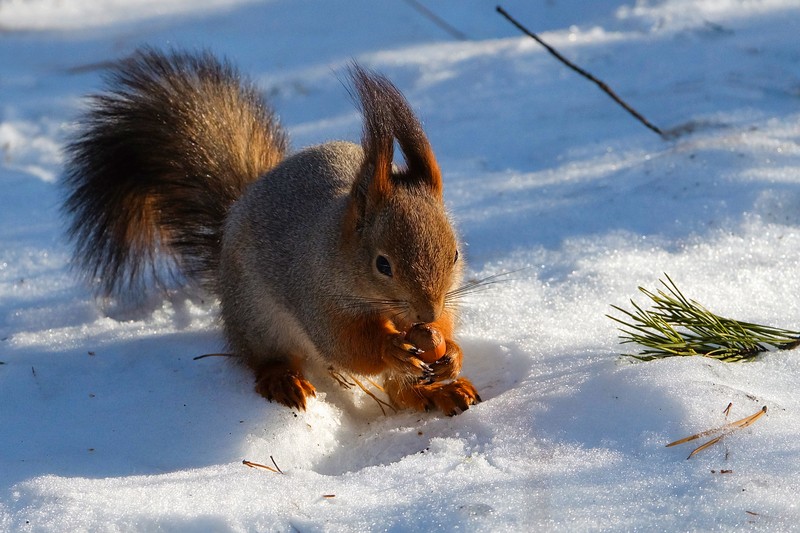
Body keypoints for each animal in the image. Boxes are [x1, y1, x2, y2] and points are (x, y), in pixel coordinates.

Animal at [64, 48, 482, 416]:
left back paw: (440, 390)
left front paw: (451, 350)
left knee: (400, 392)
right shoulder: (317, 294)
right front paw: (390, 349)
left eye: (455, 255)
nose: (427, 312)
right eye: (383, 265)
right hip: (258, 317)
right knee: (266, 358)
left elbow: (442, 327)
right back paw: (284, 380)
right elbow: (346, 344)